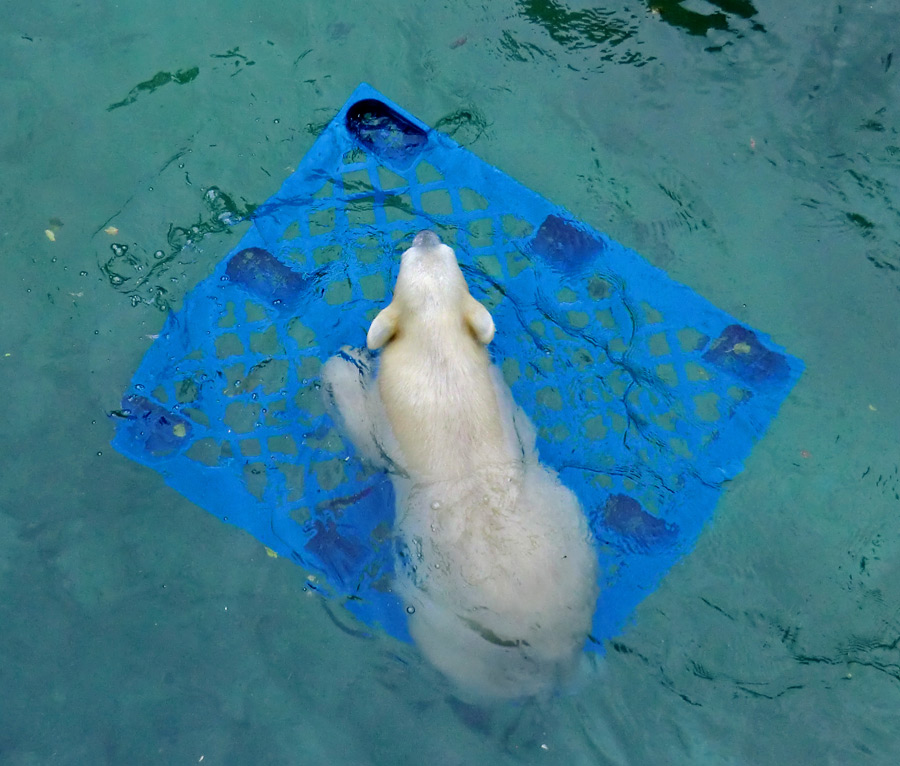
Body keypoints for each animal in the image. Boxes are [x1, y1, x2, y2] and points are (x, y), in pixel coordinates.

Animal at [322, 230, 596, 704]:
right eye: (446, 255)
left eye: (406, 260)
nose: (425, 234)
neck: (440, 356)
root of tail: (554, 652)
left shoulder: (386, 420)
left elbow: (361, 427)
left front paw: (346, 358)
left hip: (446, 632)